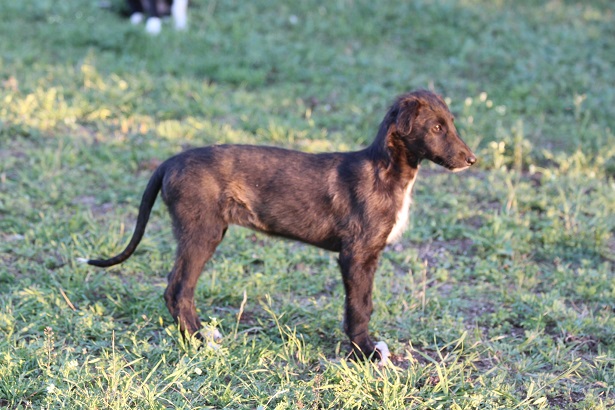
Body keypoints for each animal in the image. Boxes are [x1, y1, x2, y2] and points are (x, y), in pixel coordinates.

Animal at [80, 90, 476, 366]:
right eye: (437, 128)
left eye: (452, 124)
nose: (472, 160)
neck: (387, 170)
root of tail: (168, 162)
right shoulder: (357, 254)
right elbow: (360, 306)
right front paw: (365, 353)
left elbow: (361, 304)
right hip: (201, 231)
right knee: (177, 289)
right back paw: (201, 341)